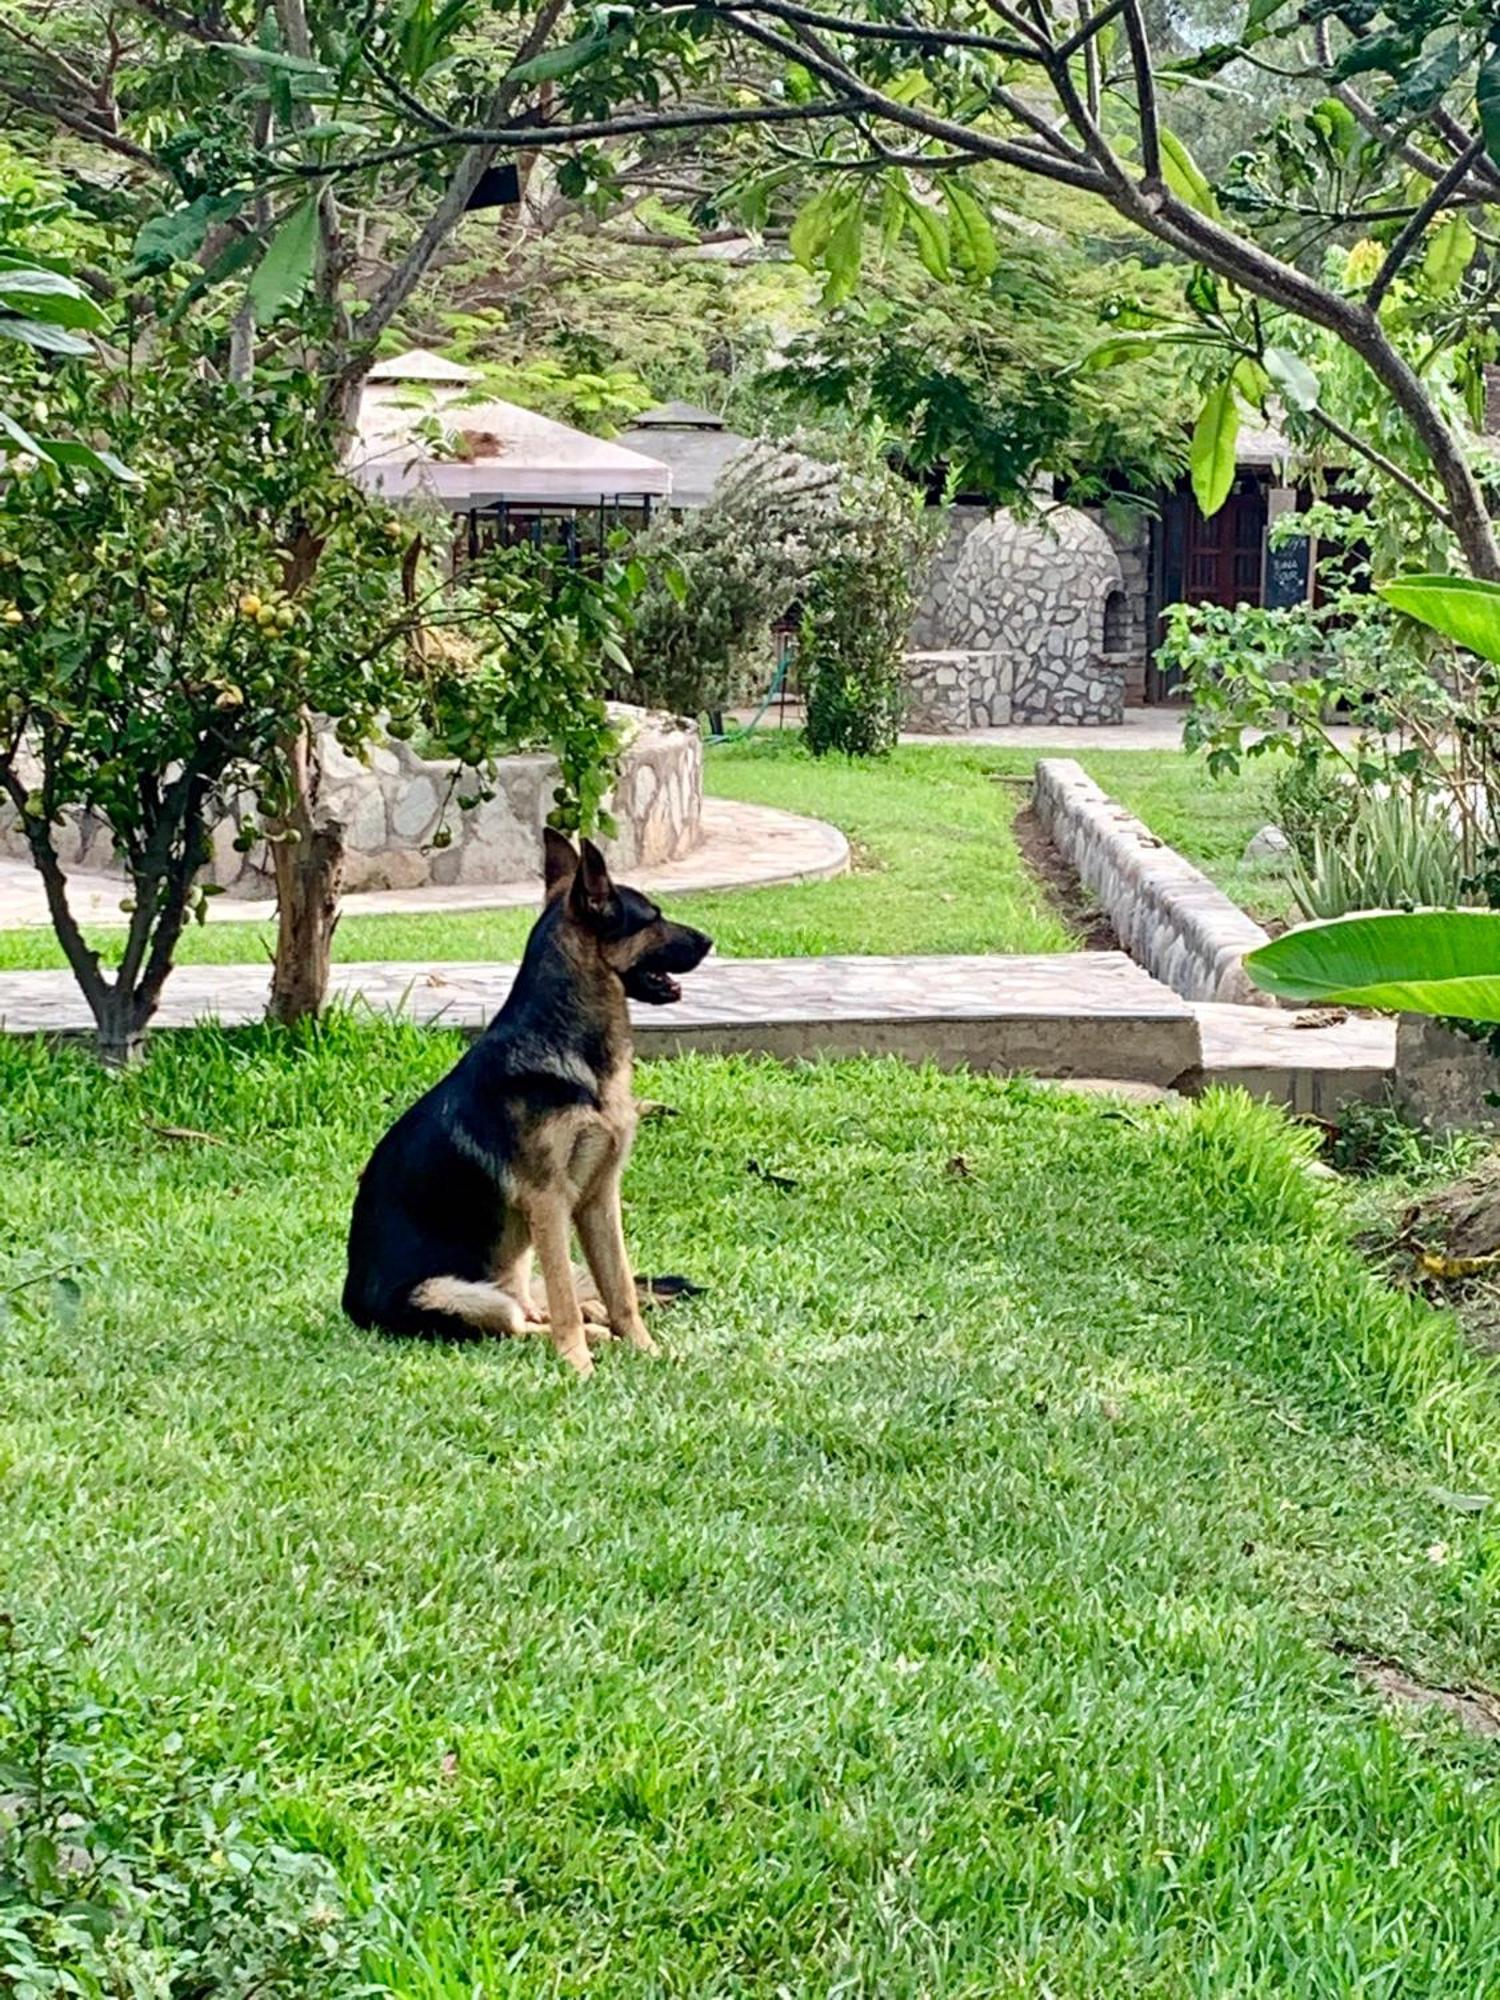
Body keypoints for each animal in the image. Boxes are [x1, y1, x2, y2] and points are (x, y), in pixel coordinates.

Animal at [344, 828, 712, 1376]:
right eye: (653, 917)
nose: (710, 941)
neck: (570, 1049)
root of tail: (350, 1308)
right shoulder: (549, 1201)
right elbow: (564, 1298)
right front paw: (579, 1368)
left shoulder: (599, 1197)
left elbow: (620, 1287)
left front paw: (647, 1350)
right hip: (455, 1294)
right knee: (519, 1322)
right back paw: (587, 1337)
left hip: (514, 1266)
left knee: (541, 1307)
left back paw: (601, 1329)